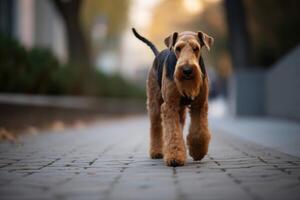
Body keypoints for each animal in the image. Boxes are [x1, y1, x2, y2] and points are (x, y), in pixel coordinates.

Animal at [132, 27, 213, 166]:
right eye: (178, 48)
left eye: (196, 48)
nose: (187, 70)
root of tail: (158, 54)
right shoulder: (169, 105)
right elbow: (173, 132)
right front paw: (175, 157)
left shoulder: (199, 105)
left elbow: (199, 132)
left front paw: (197, 152)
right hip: (154, 104)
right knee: (156, 127)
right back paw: (157, 152)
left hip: (180, 109)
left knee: (180, 125)